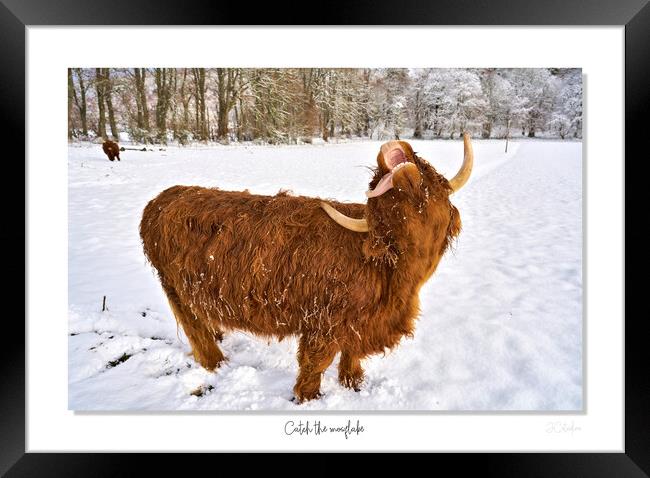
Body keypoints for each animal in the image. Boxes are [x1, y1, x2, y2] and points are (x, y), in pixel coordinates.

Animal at [139, 133, 474, 402]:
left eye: (425, 167)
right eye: (376, 190)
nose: (393, 147)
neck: (396, 276)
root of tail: (162, 199)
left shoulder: (359, 322)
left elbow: (351, 353)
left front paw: (353, 382)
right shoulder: (323, 322)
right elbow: (315, 363)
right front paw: (308, 398)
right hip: (176, 288)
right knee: (194, 328)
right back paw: (216, 362)